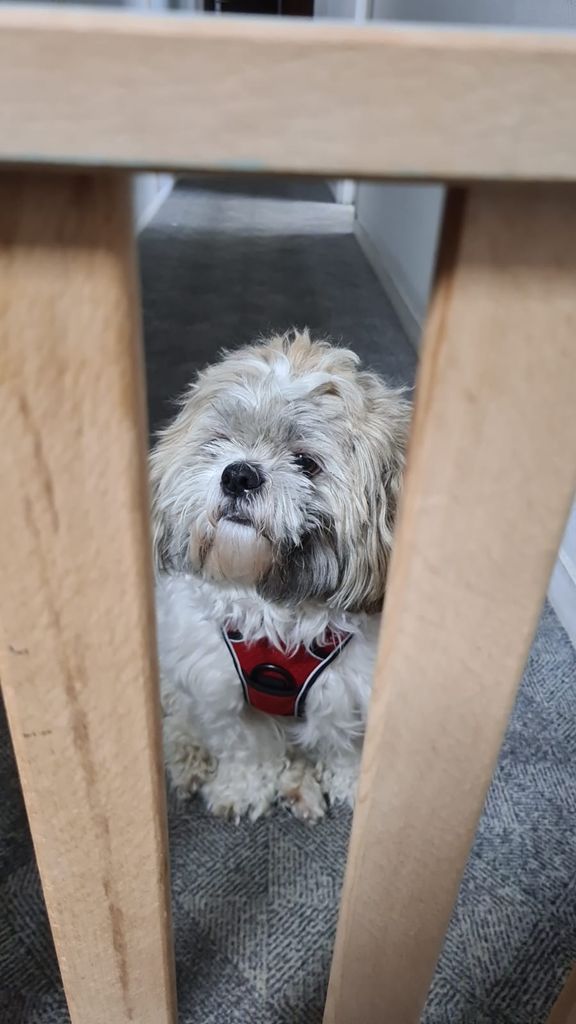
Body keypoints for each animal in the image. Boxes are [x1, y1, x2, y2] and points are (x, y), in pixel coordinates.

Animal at [151, 330, 410, 822]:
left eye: (306, 463)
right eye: (220, 442)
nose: (239, 474)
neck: (275, 609)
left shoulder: (347, 694)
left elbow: (342, 748)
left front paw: (352, 785)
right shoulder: (219, 685)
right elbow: (245, 748)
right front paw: (242, 788)